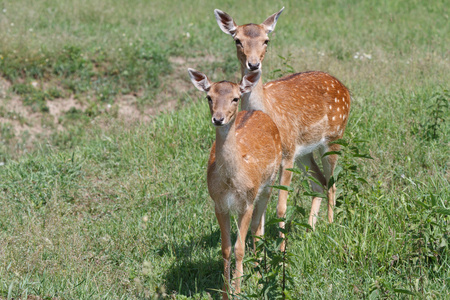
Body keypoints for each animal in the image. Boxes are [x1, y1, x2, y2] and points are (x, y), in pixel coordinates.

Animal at [187, 68, 282, 298]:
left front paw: (238, 291)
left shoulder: (246, 202)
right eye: (209, 97)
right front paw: (224, 292)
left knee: (257, 227)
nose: (218, 119)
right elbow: (226, 248)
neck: (231, 182)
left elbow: (239, 248)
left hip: (268, 184)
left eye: (235, 98)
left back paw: (259, 274)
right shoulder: (219, 204)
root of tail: (257, 112)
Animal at [214, 8, 352, 244]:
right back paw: (310, 229)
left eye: (266, 40)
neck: (269, 110)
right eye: (237, 40)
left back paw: (331, 225)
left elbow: (280, 207)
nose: (253, 64)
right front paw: (259, 244)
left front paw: (281, 244)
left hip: (334, 136)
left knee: (332, 182)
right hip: (304, 151)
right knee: (319, 182)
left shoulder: (287, 154)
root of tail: (346, 89)